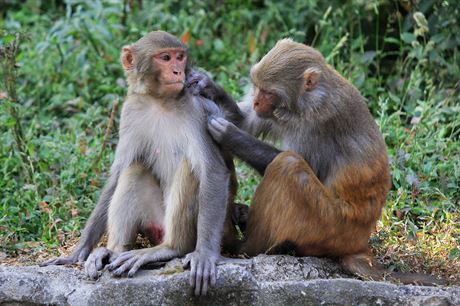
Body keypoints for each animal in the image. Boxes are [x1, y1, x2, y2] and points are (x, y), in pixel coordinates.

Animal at [40, 31, 239, 296]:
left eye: (180, 57)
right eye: (165, 58)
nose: (178, 71)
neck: (160, 101)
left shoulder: (197, 110)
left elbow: (213, 170)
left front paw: (205, 255)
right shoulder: (131, 110)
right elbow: (118, 173)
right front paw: (78, 252)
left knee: (189, 169)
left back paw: (171, 248)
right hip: (154, 221)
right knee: (135, 170)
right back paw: (112, 251)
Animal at [188, 38, 446, 286]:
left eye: (268, 92)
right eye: (257, 87)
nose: (256, 103)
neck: (307, 101)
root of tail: (360, 244)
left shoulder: (317, 123)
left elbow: (304, 165)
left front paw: (229, 135)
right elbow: (247, 121)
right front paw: (207, 85)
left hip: (328, 225)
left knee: (288, 165)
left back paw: (244, 246)